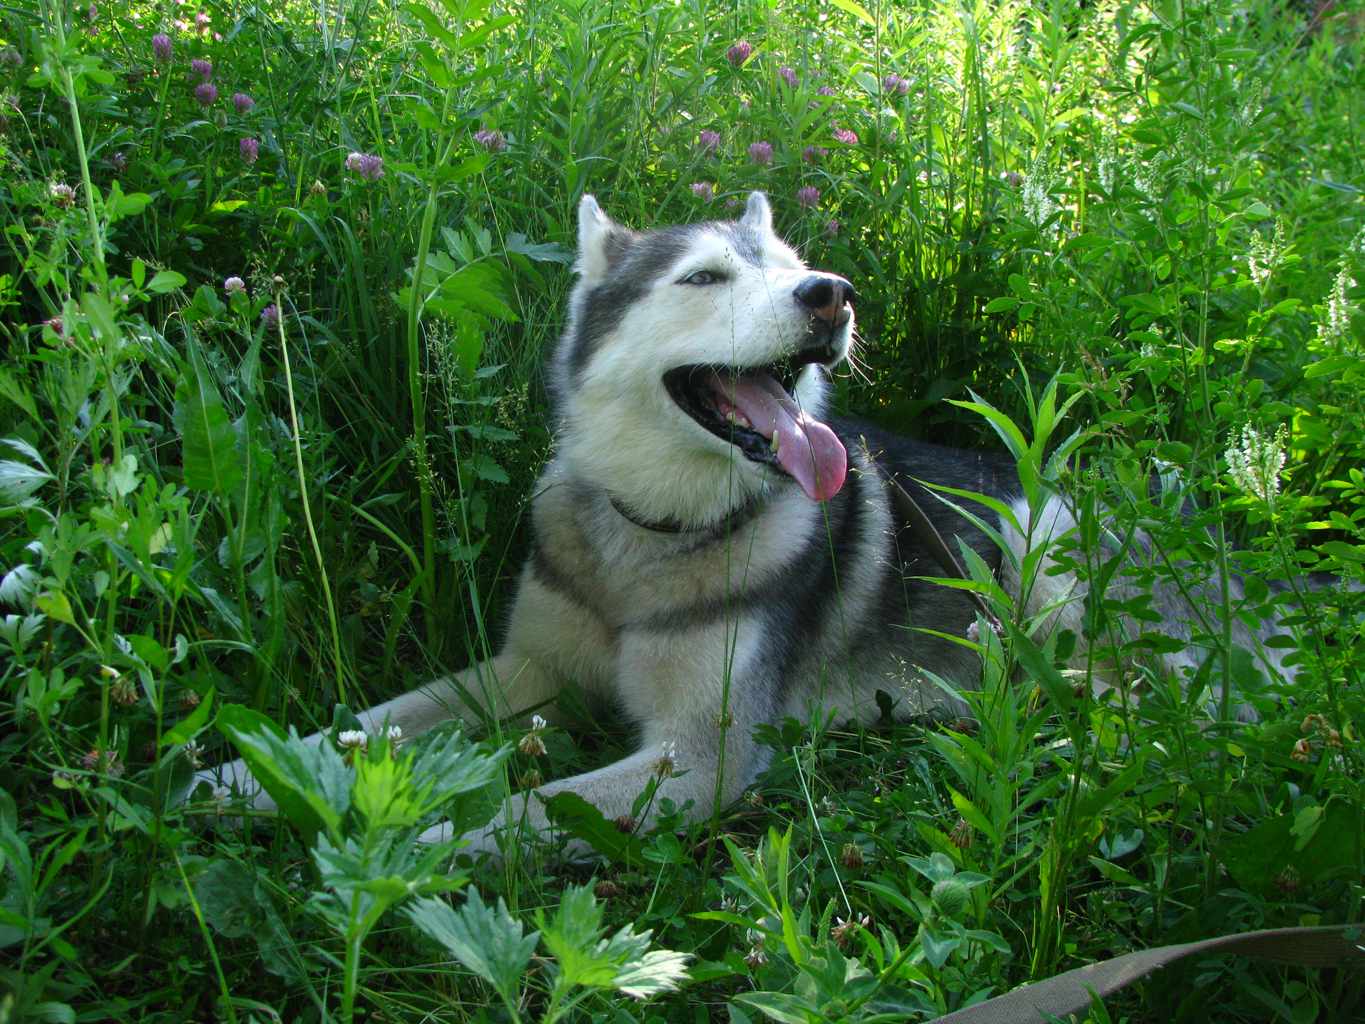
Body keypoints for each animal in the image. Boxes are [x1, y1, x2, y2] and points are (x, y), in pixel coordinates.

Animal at [200, 192, 1295, 854]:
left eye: (797, 265)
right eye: (703, 279)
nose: (833, 293)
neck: (651, 535)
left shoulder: (700, 760)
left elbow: (516, 813)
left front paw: (391, 850)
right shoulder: (525, 670)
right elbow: (367, 724)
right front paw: (231, 781)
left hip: (1046, 540)